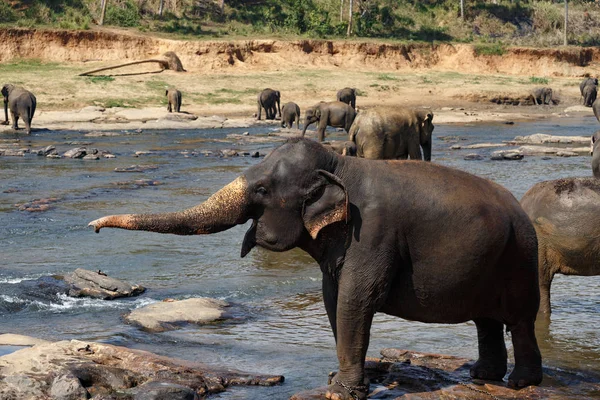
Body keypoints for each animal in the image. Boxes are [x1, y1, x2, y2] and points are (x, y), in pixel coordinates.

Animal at [89, 138, 544, 400]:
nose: (92, 226)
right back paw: (483, 374)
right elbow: (332, 298)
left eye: (262, 189)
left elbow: (355, 299)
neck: (342, 164)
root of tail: (522, 208)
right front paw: (335, 381)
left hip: (521, 256)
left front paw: (341, 392)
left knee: (519, 320)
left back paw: (520, 383)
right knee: (487, 320)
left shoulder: (372, 232)